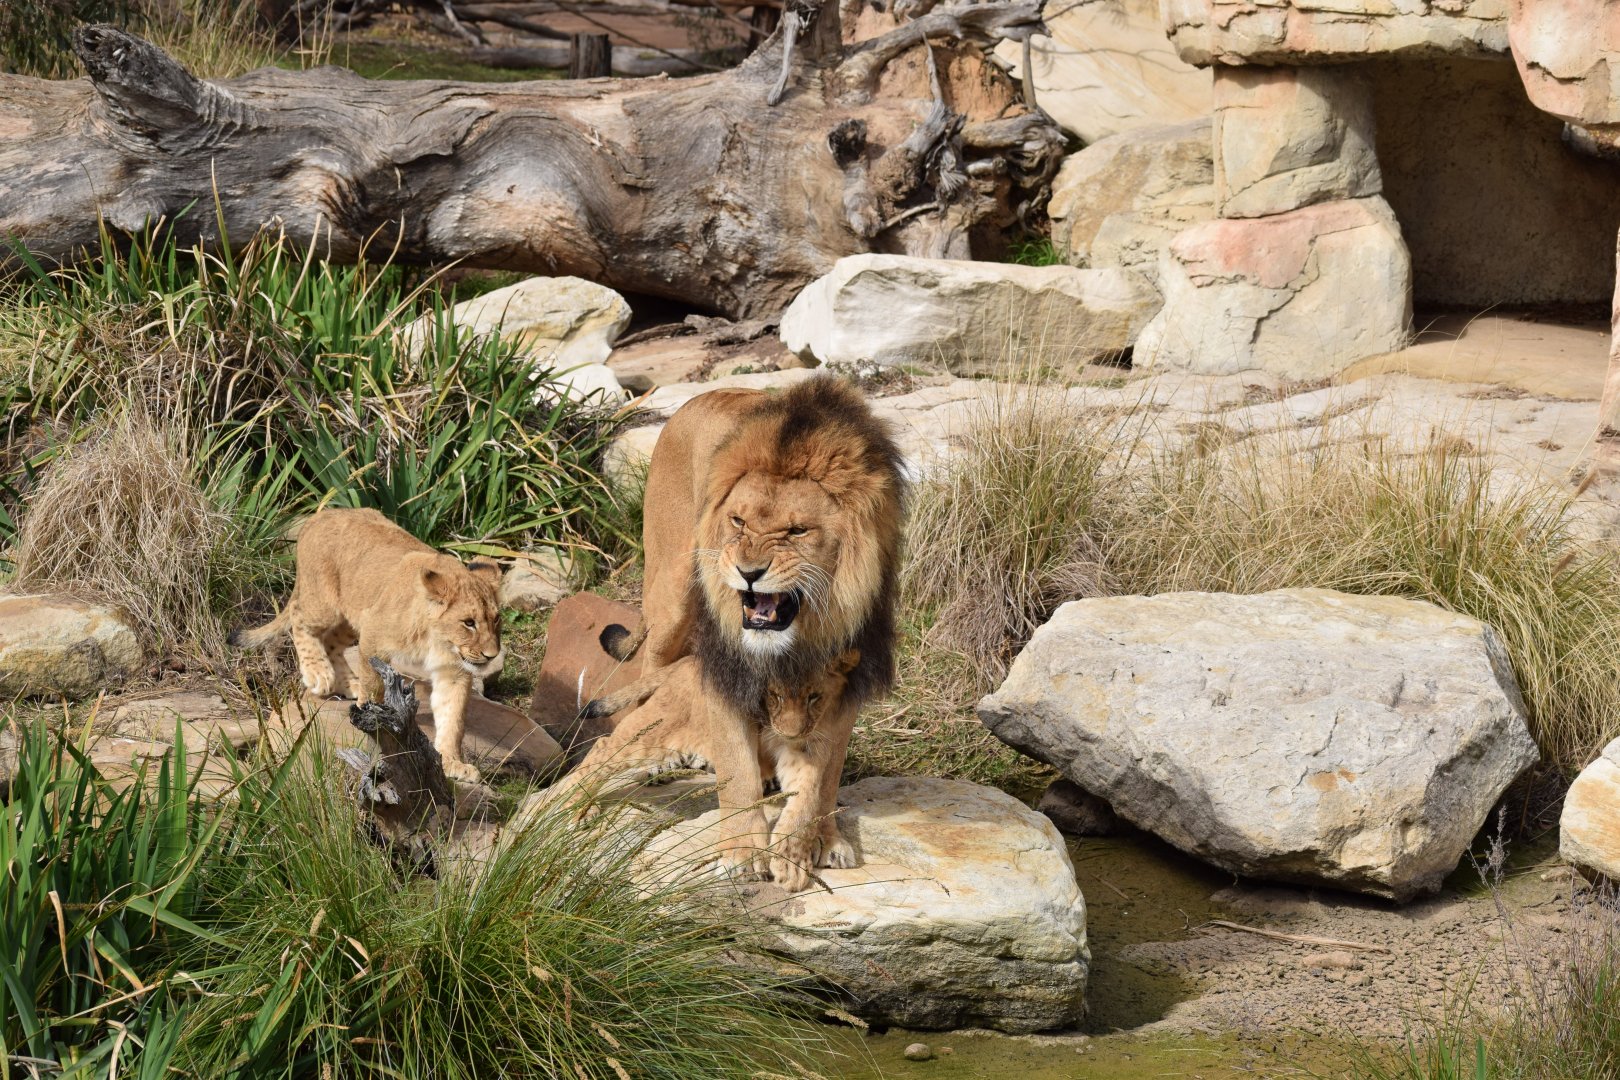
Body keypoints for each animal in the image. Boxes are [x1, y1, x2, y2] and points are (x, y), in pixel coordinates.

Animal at [230, 507, 504, 783]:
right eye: (469, 622)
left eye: (496, 619)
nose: (492, 655)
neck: (438, 639)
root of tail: (321, 514)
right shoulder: (374, 637)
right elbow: (374, 688)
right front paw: (372, 724)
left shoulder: (454, 671)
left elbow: (453, 718)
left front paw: (452, 763)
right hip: (324, 605)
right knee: (298, 615)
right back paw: (318, 673)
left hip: (352, 613)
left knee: (331, 642)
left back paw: (349, 683)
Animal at [547, 650, 862, 889]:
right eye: (775, 695)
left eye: (814, 696)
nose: (792, 733)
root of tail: (688, 659)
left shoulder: (808, 746)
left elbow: (807, 796)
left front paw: (791, 859)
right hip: (654, 734)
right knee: (603, 748)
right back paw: (576, 806)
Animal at [600, 375, 905, 882]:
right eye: (738, 520)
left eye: (797, 531)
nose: (747, 572)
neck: (800, 636)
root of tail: (697, 398)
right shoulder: (726, 666)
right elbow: (736, 770)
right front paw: (742, 853)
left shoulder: (846, 678)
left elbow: (825, 774)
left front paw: (821, 840)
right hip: (671, 595)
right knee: (649, 679)